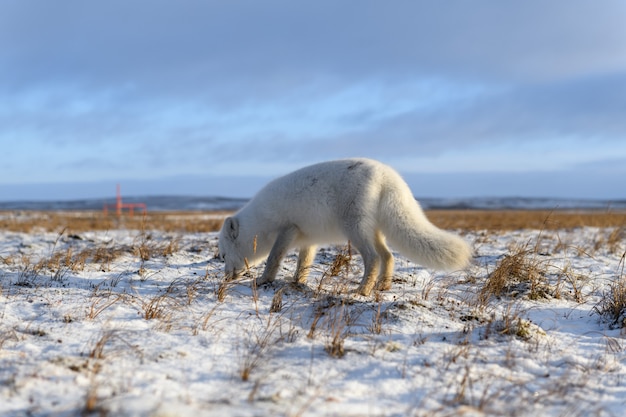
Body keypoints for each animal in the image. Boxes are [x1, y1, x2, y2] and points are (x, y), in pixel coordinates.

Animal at [218, 157, 468, 296]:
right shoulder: (308, 238)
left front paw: (263, 280)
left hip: (354, 227)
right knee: (388, 256)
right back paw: (382, 287)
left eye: (223, 255)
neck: (260, 221)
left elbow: (273, 258)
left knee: (373, 258)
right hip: (372, 230)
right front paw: (298, 282)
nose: (226, 277)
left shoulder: (288, 228)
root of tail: (387, 174)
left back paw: (363, 290)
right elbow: (303, 263)